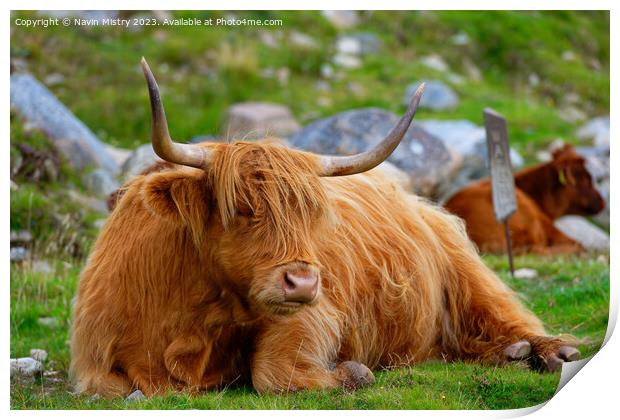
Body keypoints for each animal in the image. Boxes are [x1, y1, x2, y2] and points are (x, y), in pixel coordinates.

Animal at [69, 59, 580, 398]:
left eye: (311, 214)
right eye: (241, 209)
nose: (303, 281)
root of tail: (420, 203)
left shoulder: (312, 315)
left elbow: (272, 372)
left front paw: (353, 373)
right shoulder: (95, 362)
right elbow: (119, 388)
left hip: (468, 274)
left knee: (507, 314)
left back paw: (550, 352)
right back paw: (509, 354)